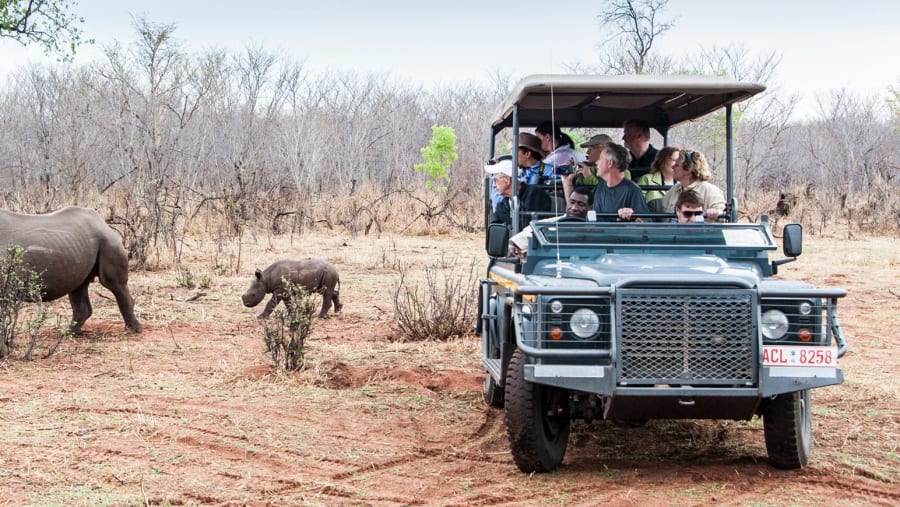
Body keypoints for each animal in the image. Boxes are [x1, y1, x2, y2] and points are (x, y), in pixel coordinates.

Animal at [0, 206, 142, 335]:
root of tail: (103, 223)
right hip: (81, 245)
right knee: (78, 286)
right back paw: (70, 333)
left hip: (107, 240)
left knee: (113, 284)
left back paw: (133, 330)